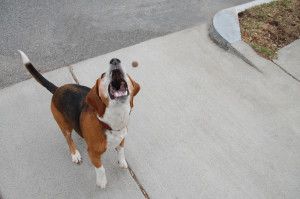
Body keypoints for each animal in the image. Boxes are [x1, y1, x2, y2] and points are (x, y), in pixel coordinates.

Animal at [18, 50, 141, 189]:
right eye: (103, 75)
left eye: (125, 71)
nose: (114, 60)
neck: (112, 122)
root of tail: (57, 89)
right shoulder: (92, 153)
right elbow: (101, 169)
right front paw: (102, 182)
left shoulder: (121, 140)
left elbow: (121, 151)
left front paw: (122, 162)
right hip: (64, 126)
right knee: (69, 140)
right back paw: (75, 154)